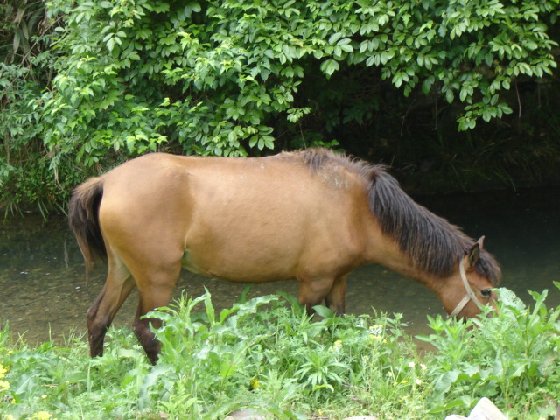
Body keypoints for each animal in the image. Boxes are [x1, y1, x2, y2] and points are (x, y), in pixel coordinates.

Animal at [68, 148, 500, 364]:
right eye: (486, 292)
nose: (498, 334)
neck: (358, 207)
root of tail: (107, 180)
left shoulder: (338, 280)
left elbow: (335, 326)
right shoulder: (312, 283)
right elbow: (307, 332)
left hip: (124, 273)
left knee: (98, 319)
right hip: (157, 279)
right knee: (145, 330)